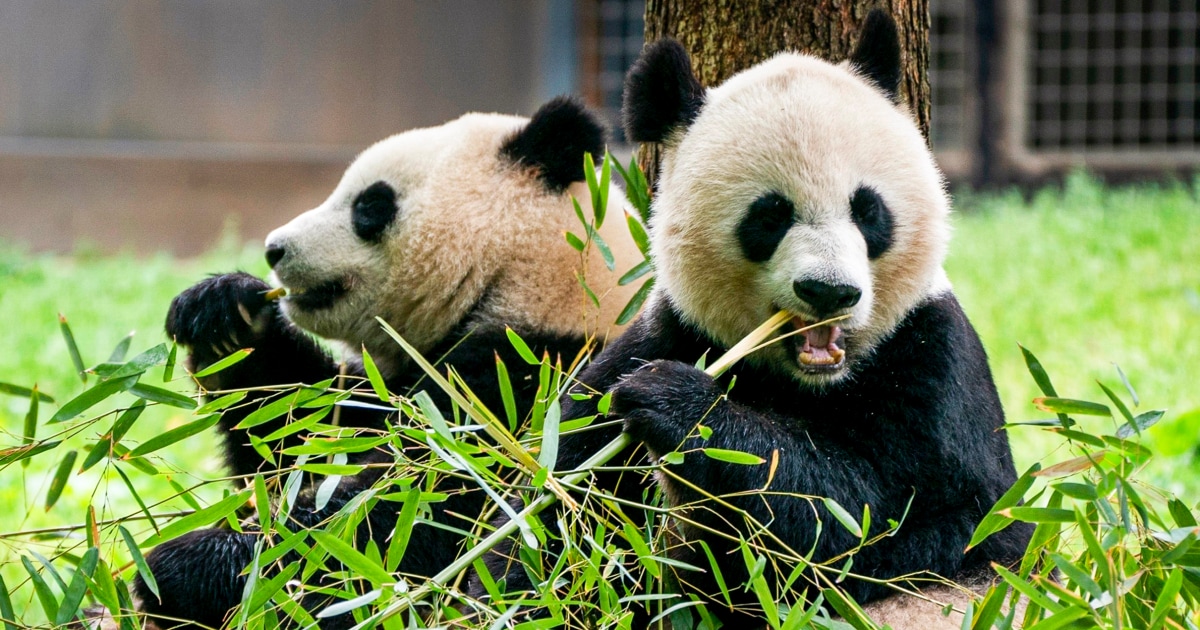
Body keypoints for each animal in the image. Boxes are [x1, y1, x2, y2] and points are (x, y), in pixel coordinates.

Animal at [133, 96, 641, 629]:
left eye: (370, 205)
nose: (274, 248)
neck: (531, 278)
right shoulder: (387, 384)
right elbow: (292, 439)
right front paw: (224, 314)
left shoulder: (531, 381)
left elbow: (411, 520)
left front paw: (181, 569)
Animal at [477, 11, 1032, 629]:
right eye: (769, 216)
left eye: (868, 210)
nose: (828, 291)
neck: (806, 382)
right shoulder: (667, 336)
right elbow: (558, 517)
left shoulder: (933, 364)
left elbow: (879, 518)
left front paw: (678, 404)